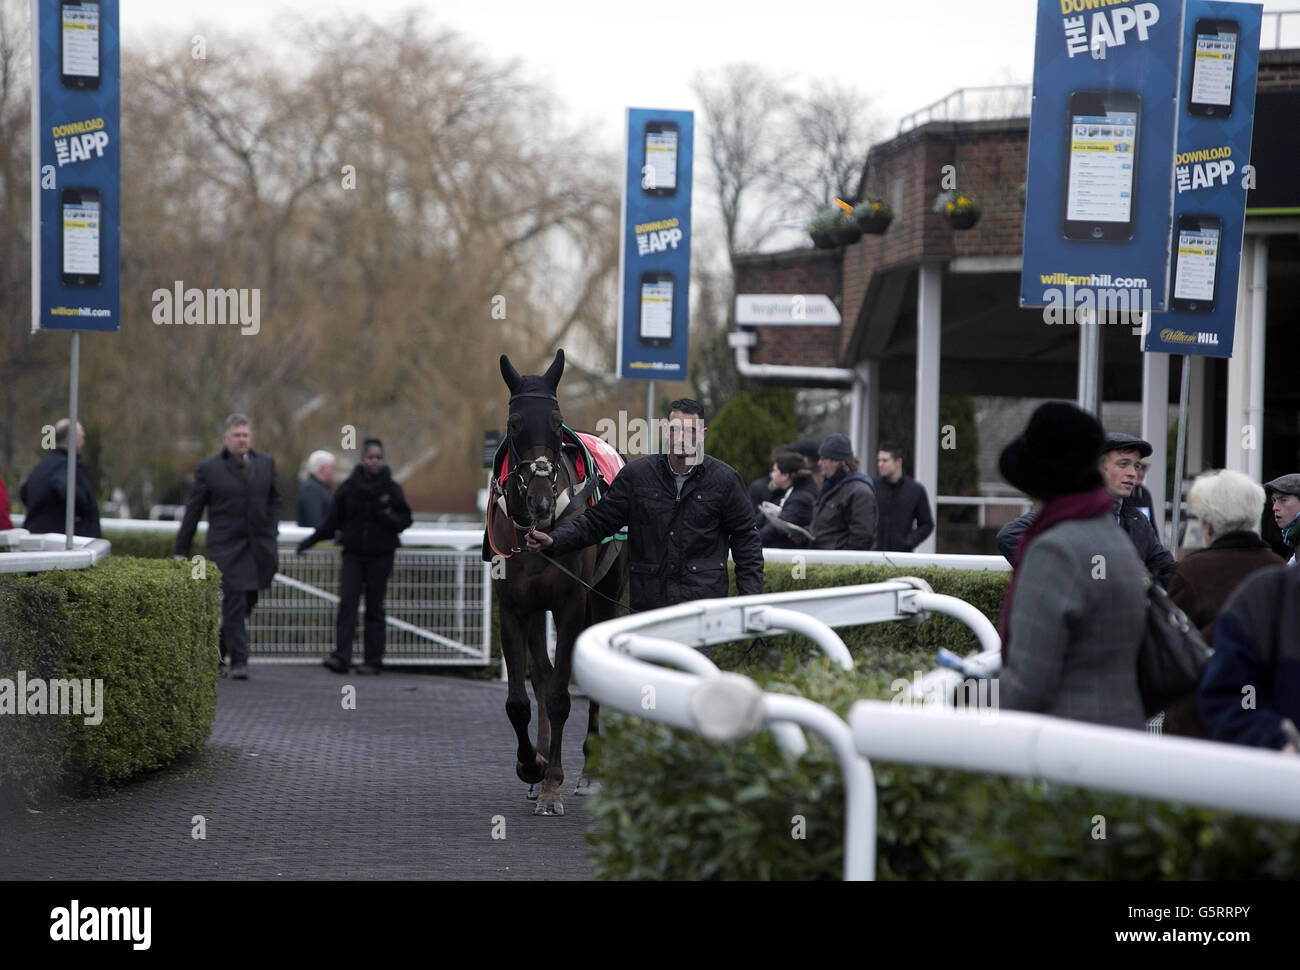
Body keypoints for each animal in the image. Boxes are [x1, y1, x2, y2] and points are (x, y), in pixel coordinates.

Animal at [488, 348, 629, 816]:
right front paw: (531, 765)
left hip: (605, 595)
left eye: (556, 419)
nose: (541, 500)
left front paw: (552, 786)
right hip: (537, 608)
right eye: (514, 423)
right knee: (542, 674)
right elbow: (520, 699)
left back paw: (587, 772)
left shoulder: (570, 602)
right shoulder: (513, 606)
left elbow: (560, 695)